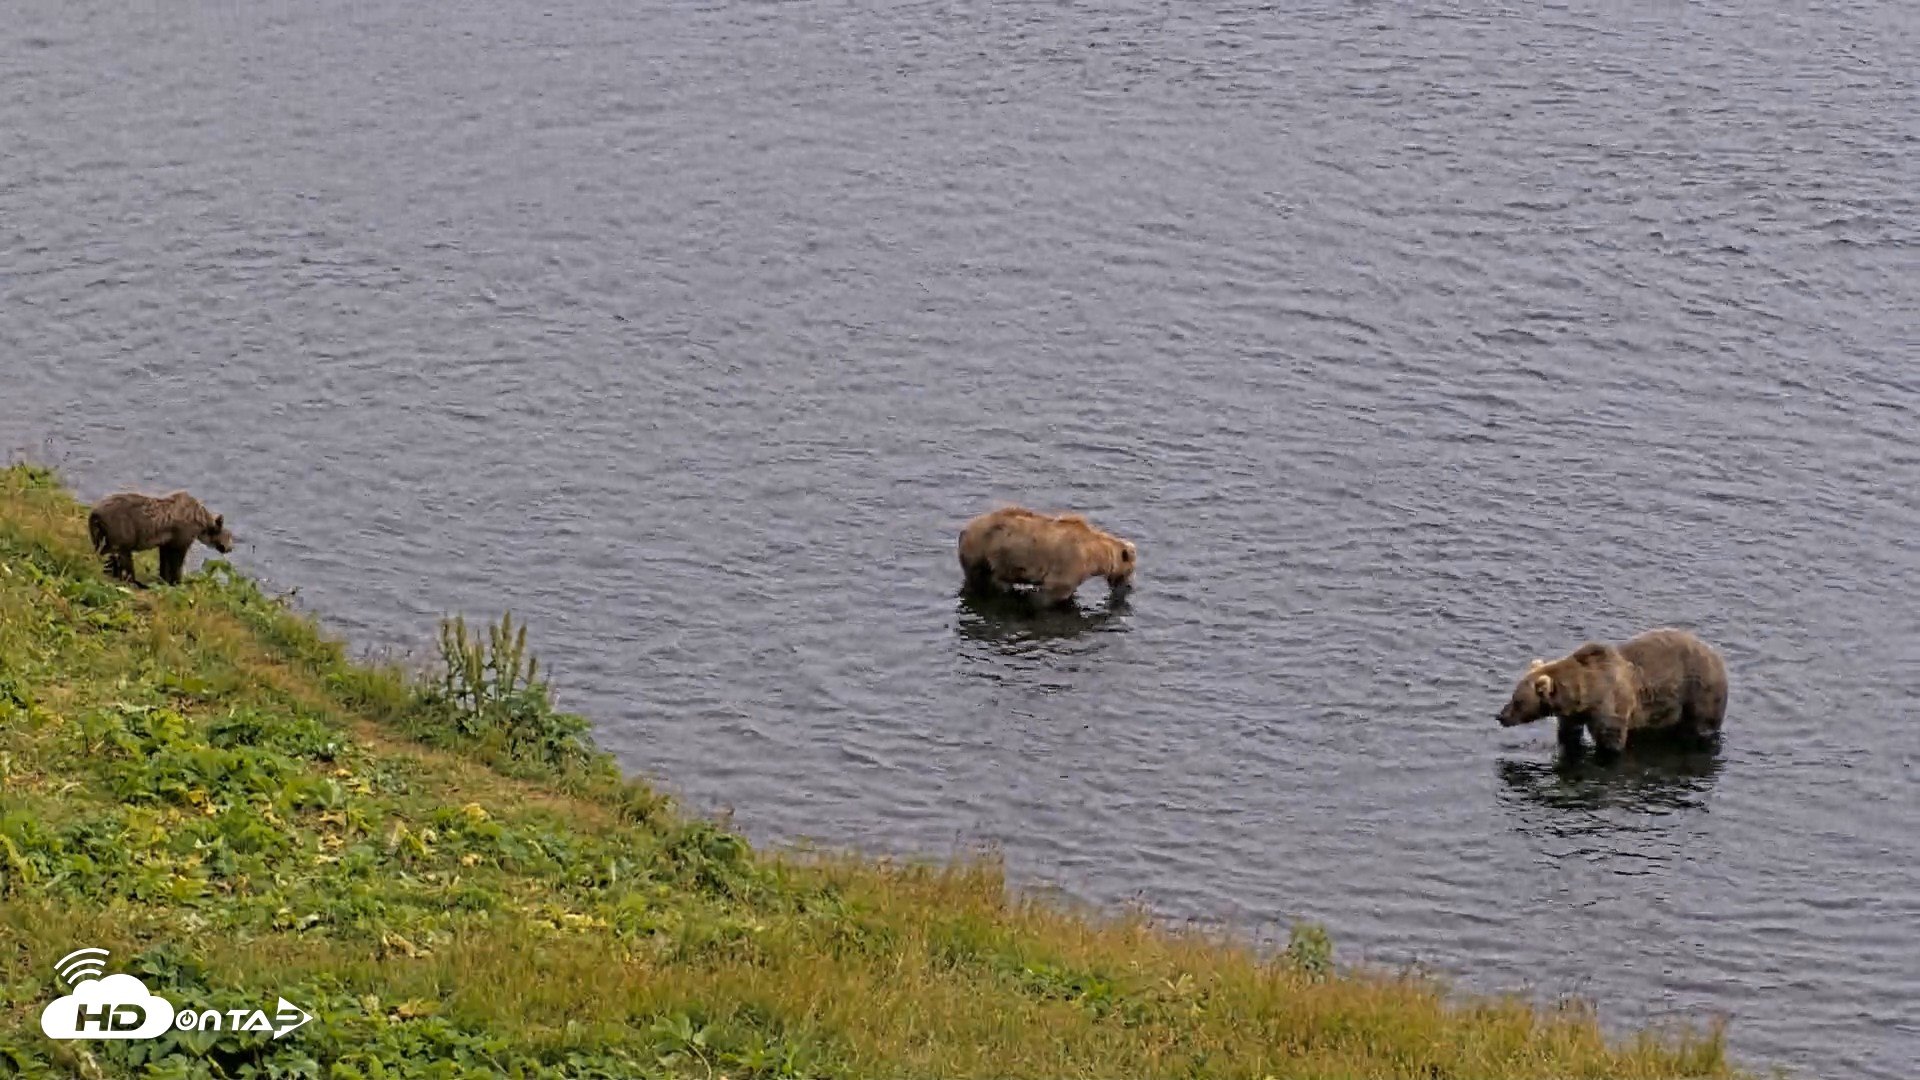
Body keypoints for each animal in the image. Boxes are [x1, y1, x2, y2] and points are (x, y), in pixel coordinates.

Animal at [87, 490, 235, 587]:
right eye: (229, 536)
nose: (230, 548)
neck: (201, 522)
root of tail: (95, 512)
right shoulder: (181, 535)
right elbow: (177, 561)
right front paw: (177, 582)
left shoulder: (167, 540)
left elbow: (165, 560)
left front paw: (164, 579)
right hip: (122, 528)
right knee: (120, 553)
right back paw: (131, 580)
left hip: (99, 531)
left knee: (104, 550)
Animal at [956, 505, 1136, 606]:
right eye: (1130, 571)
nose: (1128, 587)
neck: (1095, 555)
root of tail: (965, 529)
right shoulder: (1070, 564)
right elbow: (1054, 592)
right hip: (982, 551)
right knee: (981, 580)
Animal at [1497, 628, 1729, 755]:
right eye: (1513, 696)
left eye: (1518, 701)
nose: (1500, 715)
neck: (1587, 694)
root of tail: (1715, 653)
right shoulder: (1573, 713)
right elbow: (1569, 735)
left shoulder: (1611, 705)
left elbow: (1611, 740)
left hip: (1699, 689)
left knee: (1701, 723)